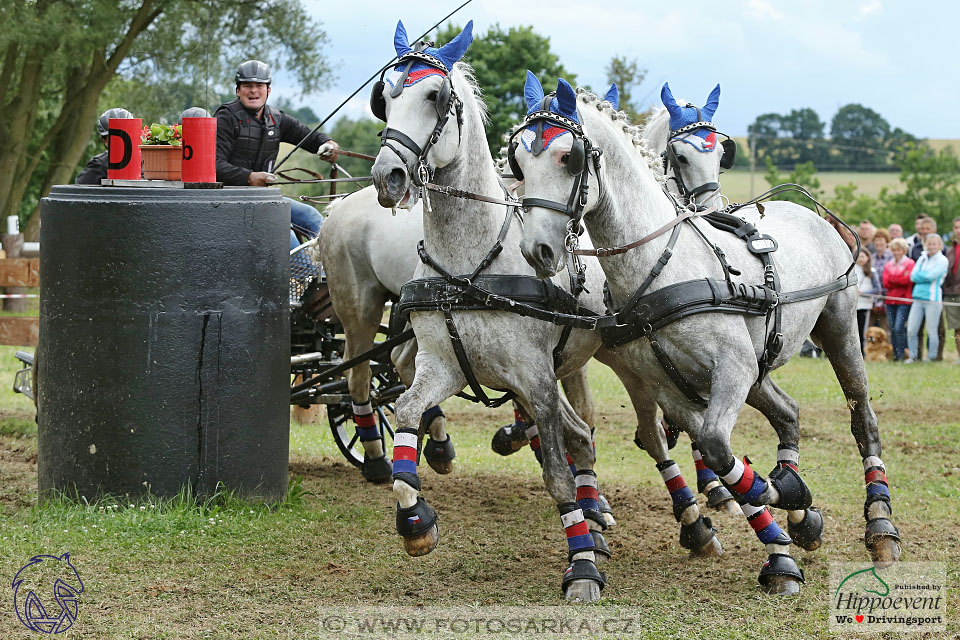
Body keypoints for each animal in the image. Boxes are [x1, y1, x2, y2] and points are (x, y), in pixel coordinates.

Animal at [512, 74, 904, 596]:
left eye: (567, 157)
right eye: (518, 157)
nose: (538, 248)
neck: (661, 263)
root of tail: (811, 213)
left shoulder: (732, 368)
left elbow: (718, 445)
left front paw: (785, 496)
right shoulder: (666, 384)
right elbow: (710, 449)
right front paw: (783, 525)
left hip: (839, 328)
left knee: (863, 420)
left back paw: (880, 526)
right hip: (758, 366)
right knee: (788, 413)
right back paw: (802, 517)